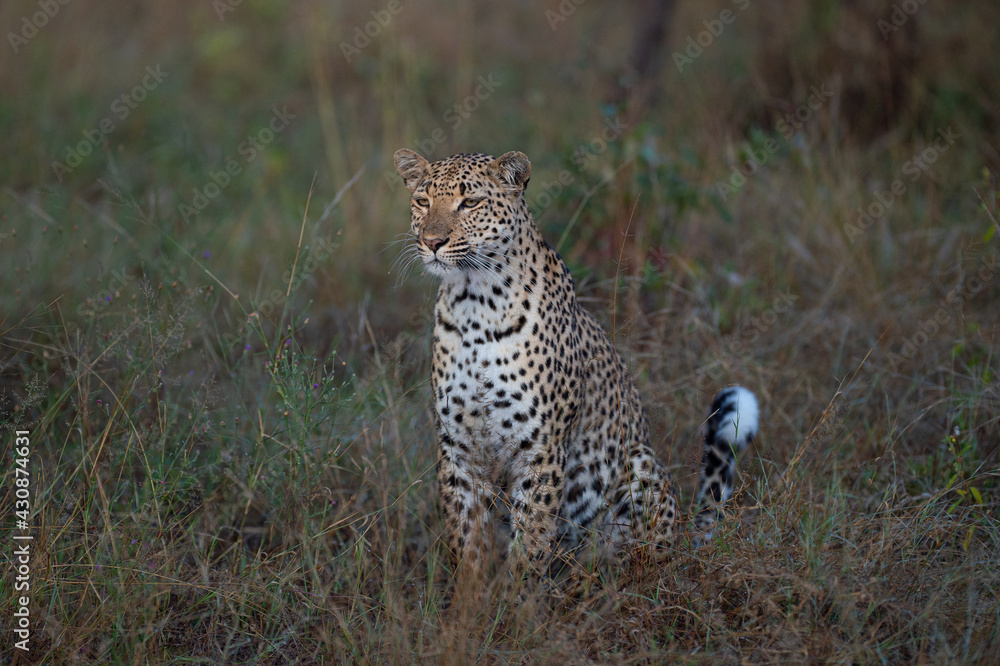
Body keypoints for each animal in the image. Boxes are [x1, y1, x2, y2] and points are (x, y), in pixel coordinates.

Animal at [393, 148, 759, 580]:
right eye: (422, 200)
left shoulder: (540, 447)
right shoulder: (458, 447)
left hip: (639, 467)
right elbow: (466, 541)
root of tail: (684, 534)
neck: (473, 303)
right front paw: (470, 597)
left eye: (470, 202)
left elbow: (530, 541)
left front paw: (515, 597)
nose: (432, 241)